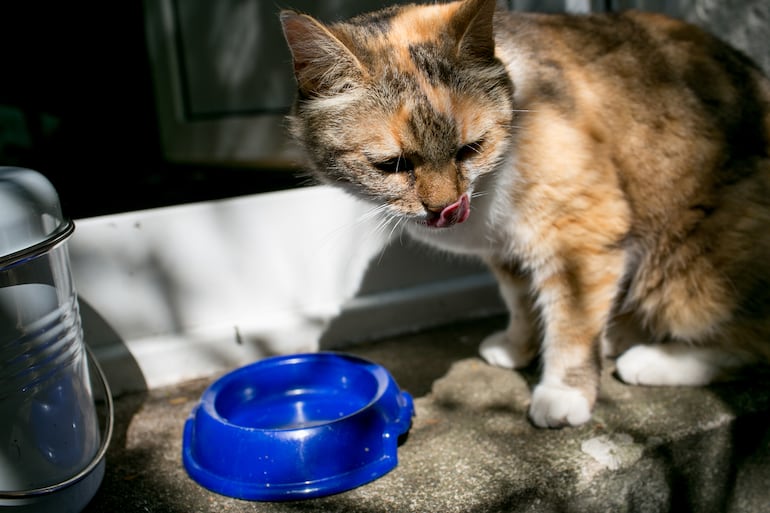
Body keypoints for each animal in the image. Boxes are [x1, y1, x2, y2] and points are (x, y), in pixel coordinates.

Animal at [280, 0, 768, 426]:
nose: (445, 208)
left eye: (469, 149)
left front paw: (563, 393)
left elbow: (571, 325)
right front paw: (519, 347)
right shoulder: (507, 249)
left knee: (751, 343)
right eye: (392, 165)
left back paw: (651, 359)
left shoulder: (582, 236)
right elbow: (519, 300)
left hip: (690, 271)